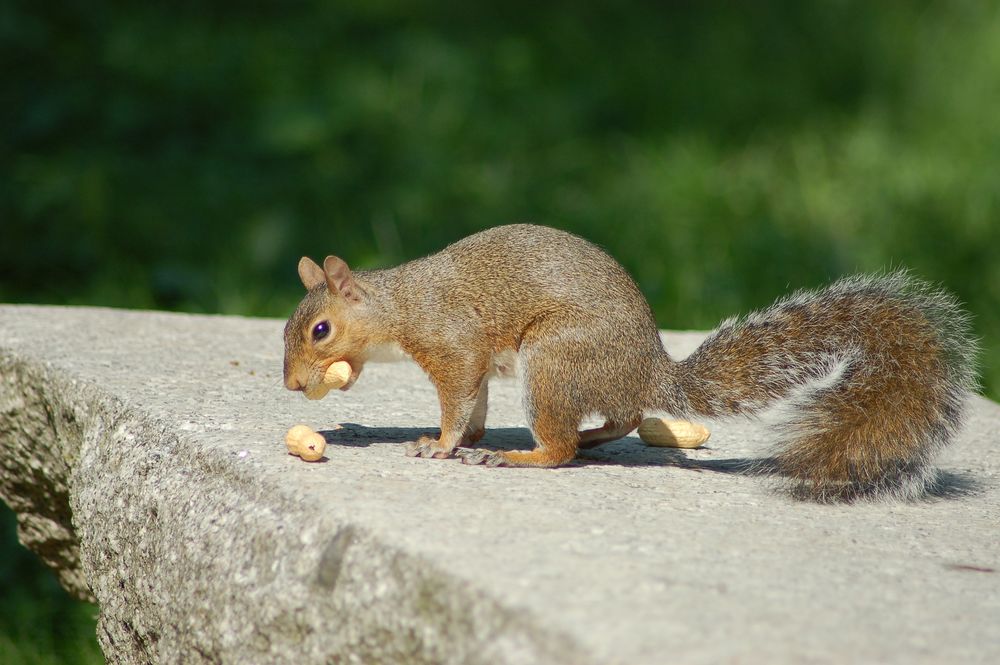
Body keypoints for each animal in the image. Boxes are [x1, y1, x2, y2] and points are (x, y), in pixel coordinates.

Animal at [283, 224, 977, 501]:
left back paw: (525, 454)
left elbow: (458, 400)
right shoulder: (473, 364)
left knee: (561, 447)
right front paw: (467, 436)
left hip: (555, 359)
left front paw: (442, 444)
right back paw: (593, 437)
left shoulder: (452, 344)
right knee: (620, 416)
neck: (398, 305)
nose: (291, 384)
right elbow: (474, 402)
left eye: (320, 330)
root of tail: (650, 366)